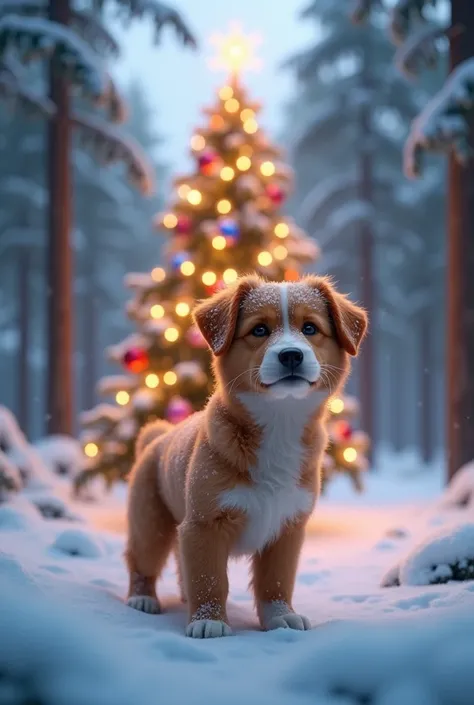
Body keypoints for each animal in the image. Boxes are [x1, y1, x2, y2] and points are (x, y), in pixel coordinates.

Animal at [125, 272, 366, 636]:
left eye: (310, 328)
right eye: (260, 330)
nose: (291, 355)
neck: (279, 424)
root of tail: (158, 436)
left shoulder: (288, 527)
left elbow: (276, 581)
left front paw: (281, 617)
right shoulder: (204, 524)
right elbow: (209, 579)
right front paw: (209, 621)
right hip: (150, 523)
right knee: (142, 560)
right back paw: (142, 599)